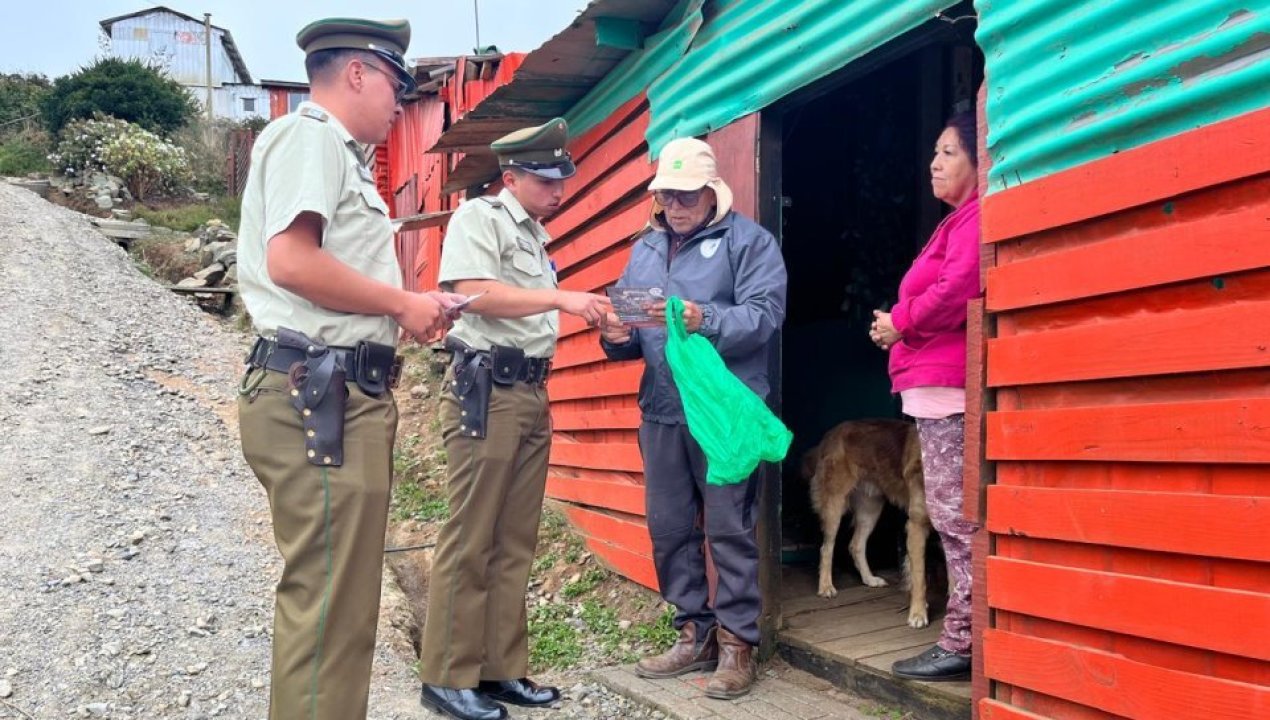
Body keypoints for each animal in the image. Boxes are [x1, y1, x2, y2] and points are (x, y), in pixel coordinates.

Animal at [802, 419, 934, 627]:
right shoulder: (916, 524)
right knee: (827, 548)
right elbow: (920, 574)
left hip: (870, 509)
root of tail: (832, 433)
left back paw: (869, 579)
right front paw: (919, 613)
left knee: (855, 545)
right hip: (835, 505)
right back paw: (825, 587)